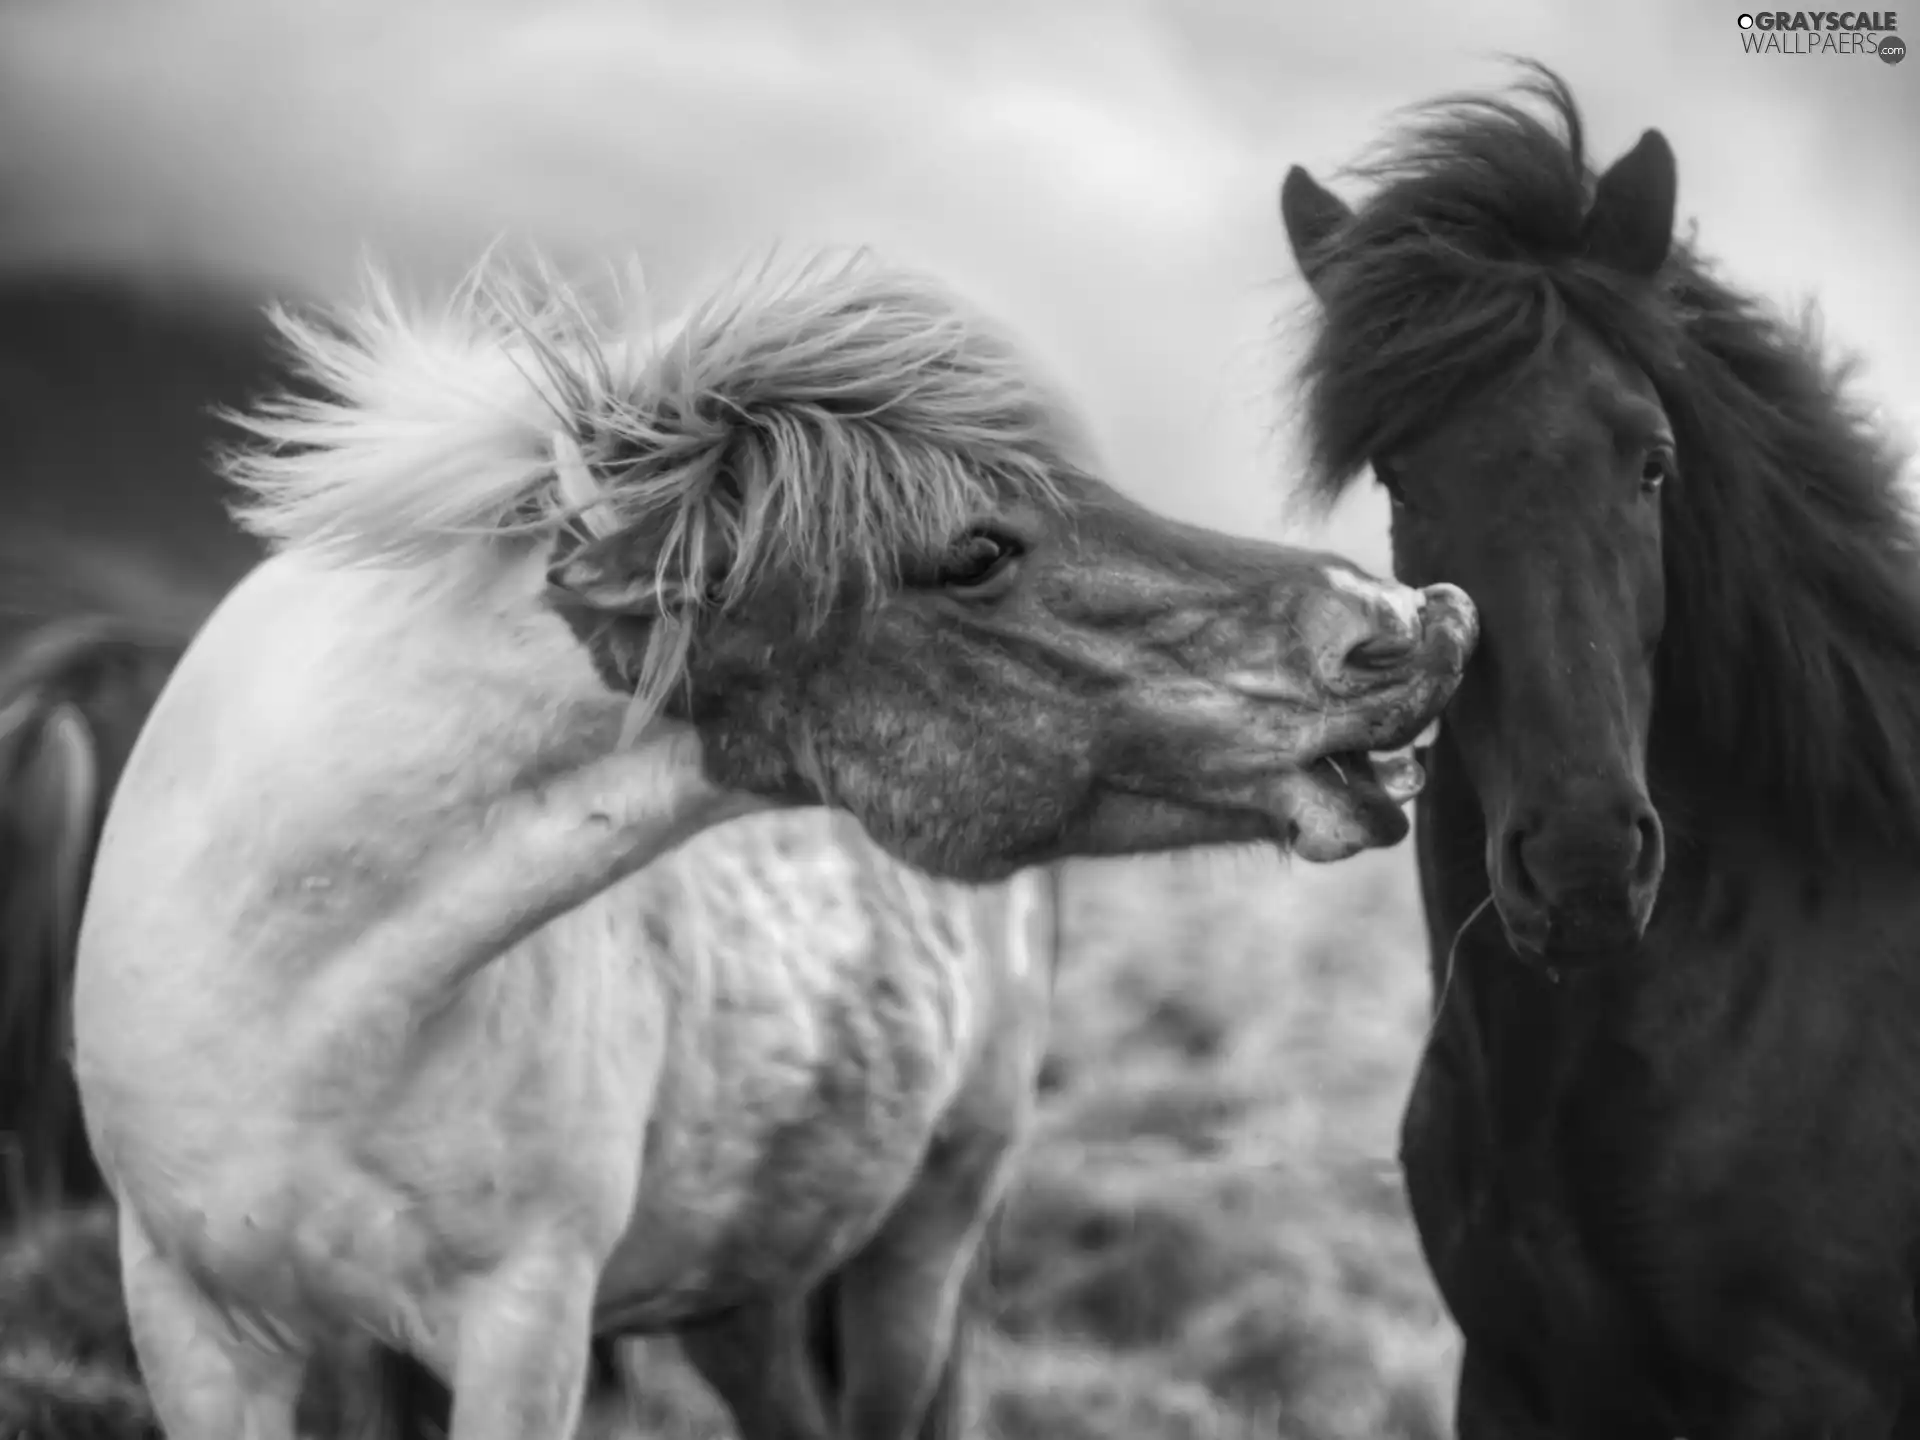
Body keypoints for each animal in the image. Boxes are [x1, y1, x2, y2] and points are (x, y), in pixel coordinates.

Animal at [63, 242, 1466, 1436]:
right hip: (744, 1283)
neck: (302, 987)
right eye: (977, 550)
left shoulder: (524, 1324)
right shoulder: (196, 1322)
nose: (1410, 619)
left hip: (922, 1239)